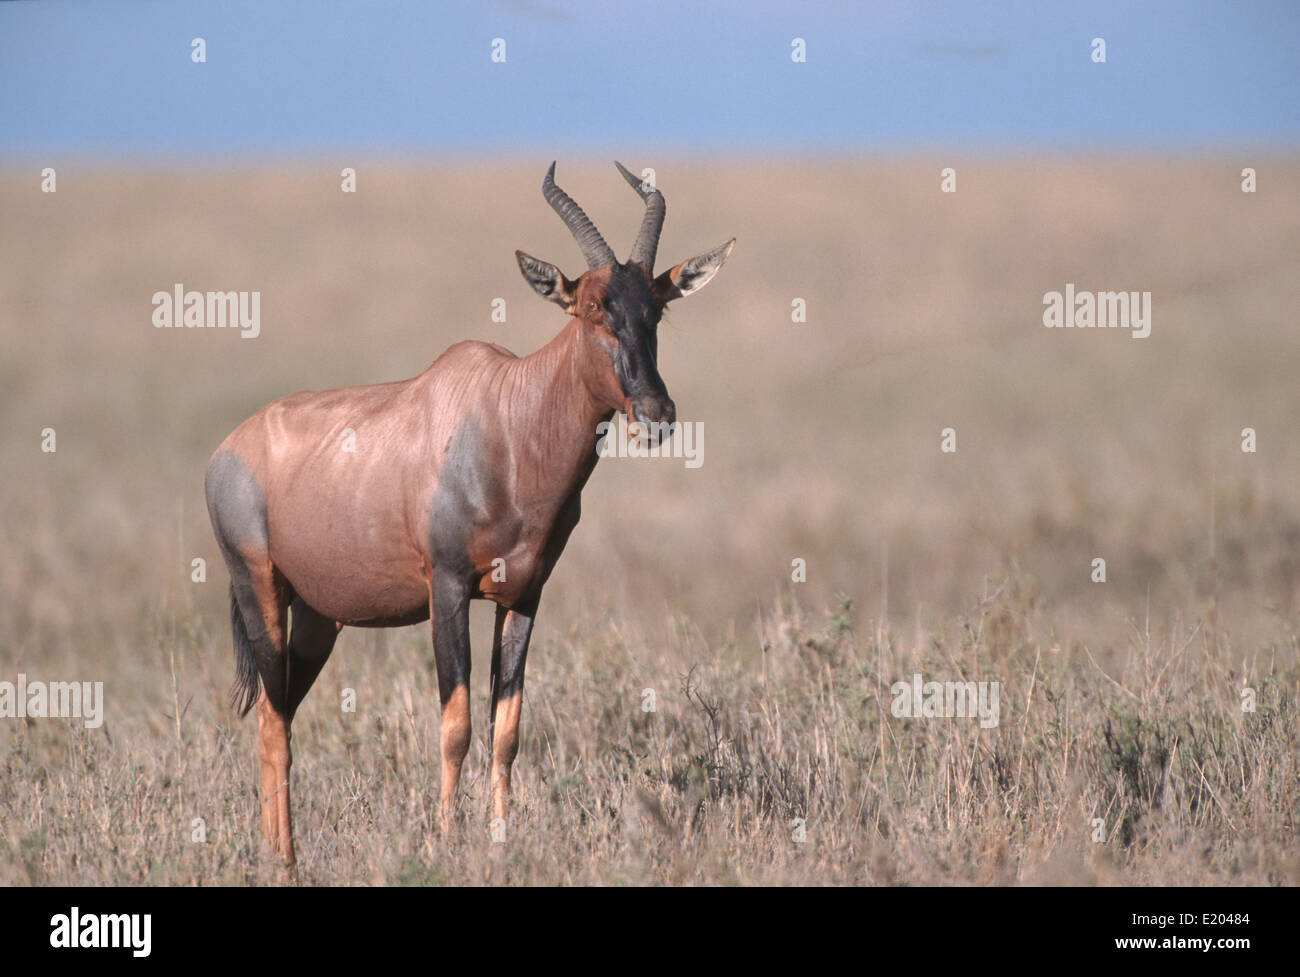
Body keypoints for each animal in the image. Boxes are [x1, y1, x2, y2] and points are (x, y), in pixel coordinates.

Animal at [202, 162, 733, 862]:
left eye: (657, 308)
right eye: (593, 308)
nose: (656, 415)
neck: (506, 416)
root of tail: (228, 450)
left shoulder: (525, 596)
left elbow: (506, 729)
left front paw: (500, 842)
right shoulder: (448, 589)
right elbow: (455, 725)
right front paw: (447, 840)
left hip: (318, 616)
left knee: (282, 709)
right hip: (259, 588)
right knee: (269, 721)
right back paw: (282, 861)